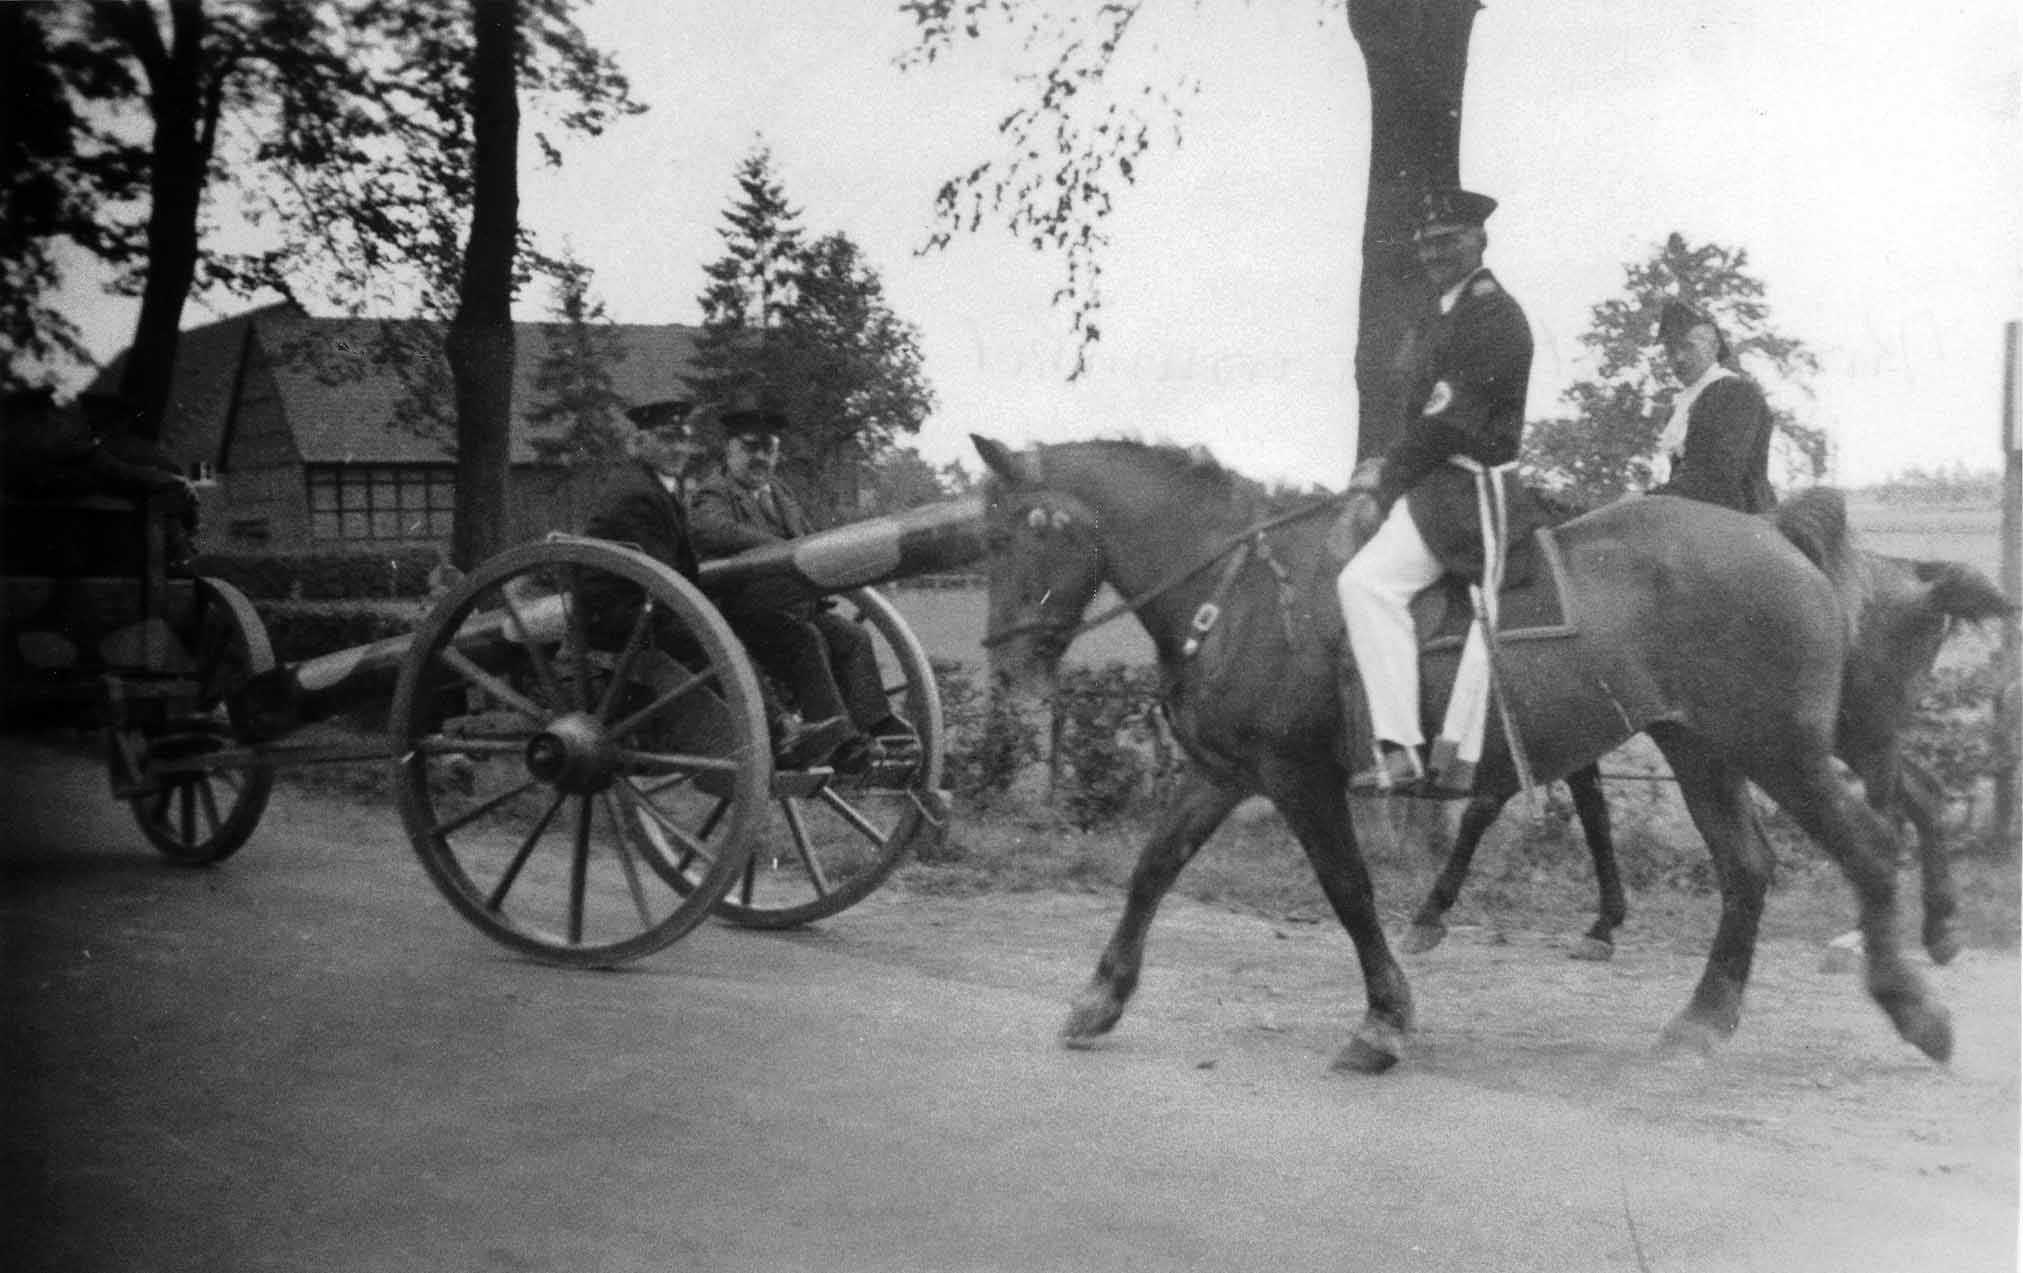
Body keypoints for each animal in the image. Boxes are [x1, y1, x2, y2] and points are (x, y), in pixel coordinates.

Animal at [971, 435, 1950, 1068]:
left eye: (1024, 531)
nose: (1010, 664)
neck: (1237, 589)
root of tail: (1774, 532)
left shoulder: (1297, 776)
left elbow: (1348, 890)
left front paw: (1384, 1019)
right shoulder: (1225, 771)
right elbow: (1152, 868)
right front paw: (1101, 996)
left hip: (1780, 748)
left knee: (1868, 848)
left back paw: (1913, 1008)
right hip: (1701, 747)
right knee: (1747, 868)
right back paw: (1701, 1023)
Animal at [1399, 550, 2014, 963]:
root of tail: (1918, 578)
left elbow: (1487, 809)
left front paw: (1431, 914)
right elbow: (1593, 815)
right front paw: (1604, 924)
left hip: (1845, 737)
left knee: (1888, 812)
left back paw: (1872, 934)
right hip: (1832, 742)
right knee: (1924, 794)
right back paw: (1939, 930)